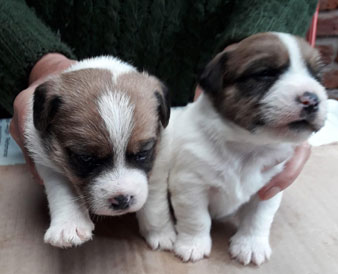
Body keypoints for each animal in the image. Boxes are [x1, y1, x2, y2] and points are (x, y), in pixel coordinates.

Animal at [24, 56, 169, 248]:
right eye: (86, 158)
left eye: (142, 154)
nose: (122, 200)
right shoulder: (47, 161)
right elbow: (62, 189)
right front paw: (69, 226)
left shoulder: (159, 161)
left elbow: (155, 202)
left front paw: (160, 233)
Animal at [137, 32, 328, 266]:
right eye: (265, 73)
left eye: (317, 76)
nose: (312, 99)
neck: (247, 147)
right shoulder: (190, 186)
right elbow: (197, 219)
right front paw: (193, 245)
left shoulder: (269, 188)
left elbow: (258, 218)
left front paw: (251, 245)